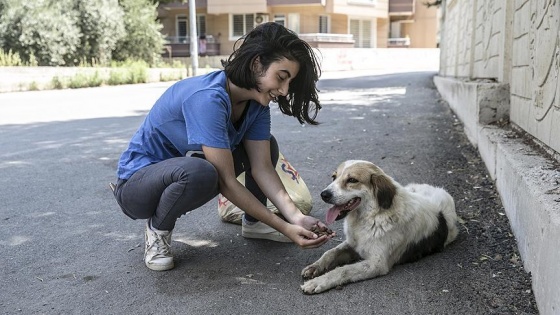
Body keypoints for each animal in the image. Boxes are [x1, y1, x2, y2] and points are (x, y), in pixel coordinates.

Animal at [300, 160, 458, 296]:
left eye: (352, 180)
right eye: (334, 177)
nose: (324, 194)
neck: (371, 217)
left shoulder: (377, 264)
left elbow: (343, 270)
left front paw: (318, 282)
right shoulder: (353, 244)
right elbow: (330, 253)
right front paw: (315, 267)